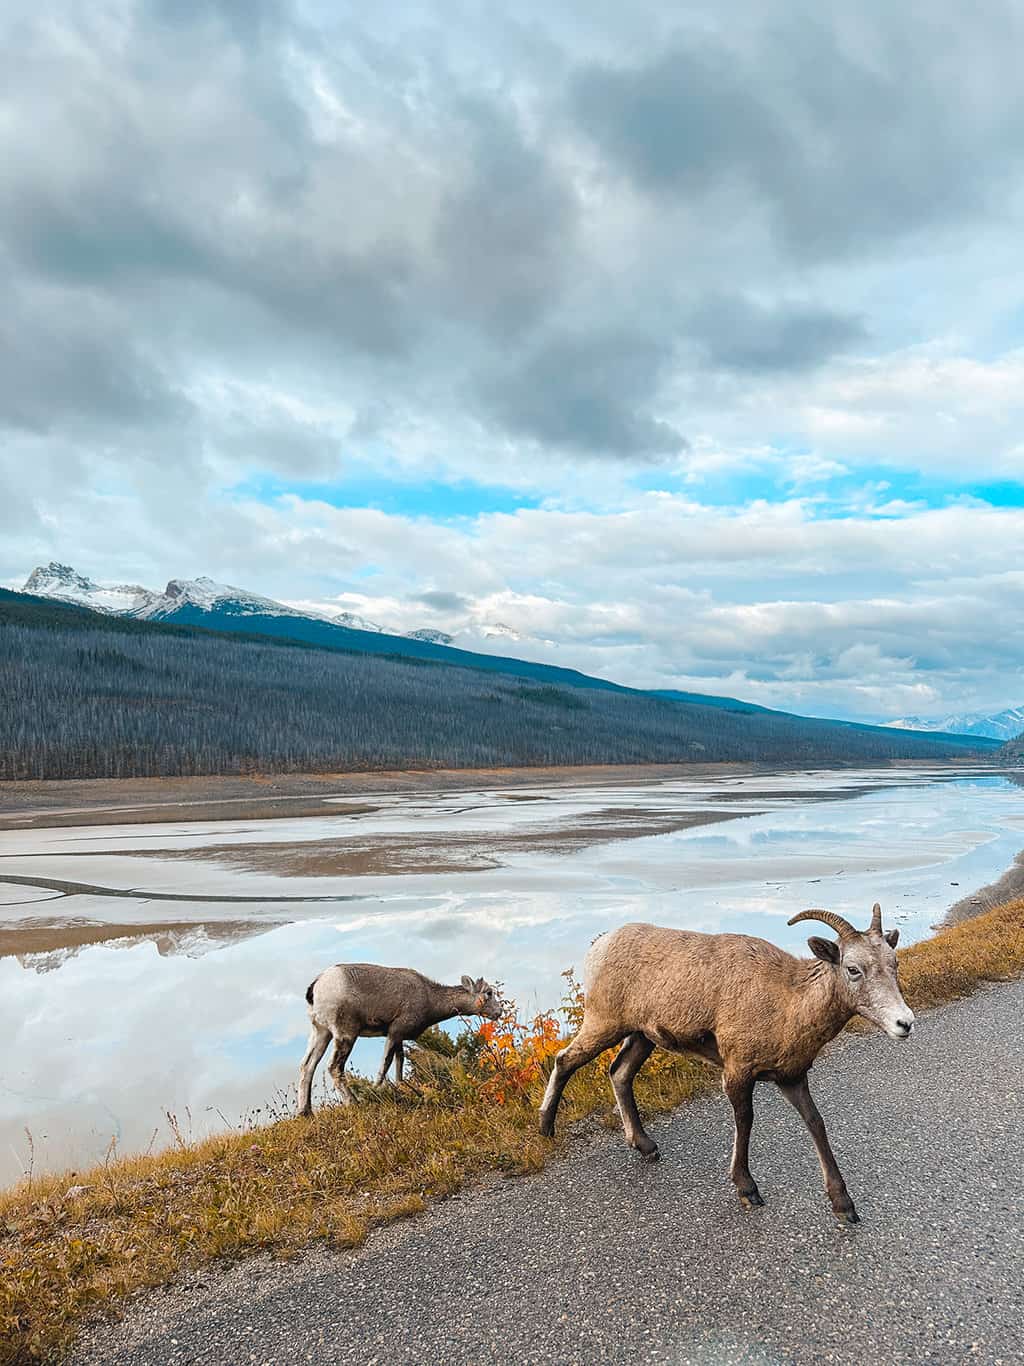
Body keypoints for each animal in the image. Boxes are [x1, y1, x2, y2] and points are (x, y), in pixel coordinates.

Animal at [299, 967, 502, 1114]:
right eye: (488, 993)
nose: (498, 1013)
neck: (430, 1000)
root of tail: (315, 988)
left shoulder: (398, 1037)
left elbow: (399, 1065)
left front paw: (401, 1089)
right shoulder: (395, 1032)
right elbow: (385, 1065)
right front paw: (375, 1092)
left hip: (321, 1032)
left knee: (307, 1065)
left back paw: (306, 1112)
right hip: (345, 1033)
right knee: (334, 1067)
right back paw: (355, 1103)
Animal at [540, 901, 917, 1223]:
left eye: (894, 964)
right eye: (853, 969)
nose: (905, 1023)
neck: (788, 1004)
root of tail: (600, 945)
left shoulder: (792, 1078)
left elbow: (816, 1125)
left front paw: (844, 1206)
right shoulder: (738, 1072)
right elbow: (745, 1122)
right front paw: (748, 1190)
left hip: (642, 1036)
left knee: (619, 1073)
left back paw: (646, 1147)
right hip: (604, 1023)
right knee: (565, 1060)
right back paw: (546, 1129)